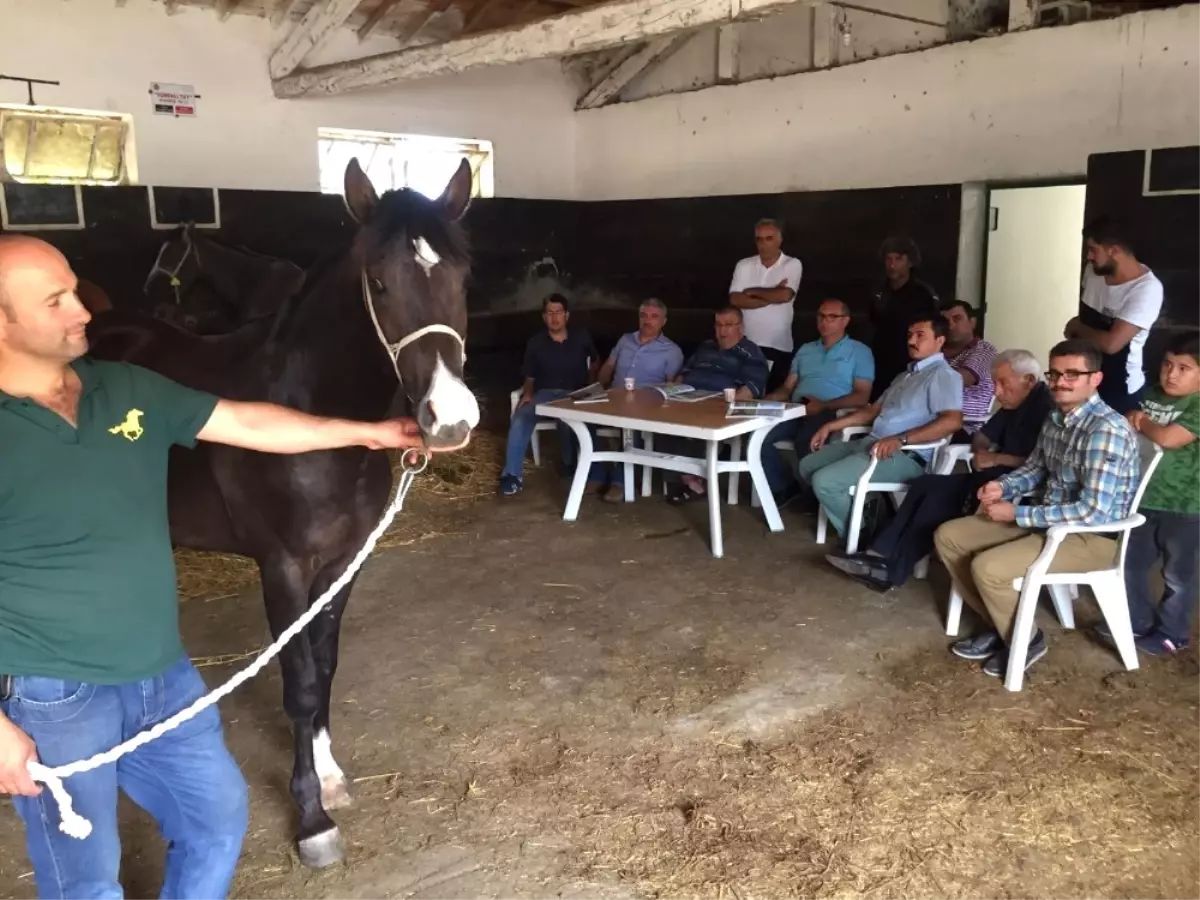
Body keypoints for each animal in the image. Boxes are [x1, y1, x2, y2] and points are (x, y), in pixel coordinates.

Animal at [83, 158, 482, 868]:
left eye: (462, 278)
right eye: (379, 282)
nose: (451, 419)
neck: (312, 416)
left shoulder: (343, 564)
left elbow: (323, 667)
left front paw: (329, 775)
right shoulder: (283, 568)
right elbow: (298, 682)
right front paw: (312, 818)